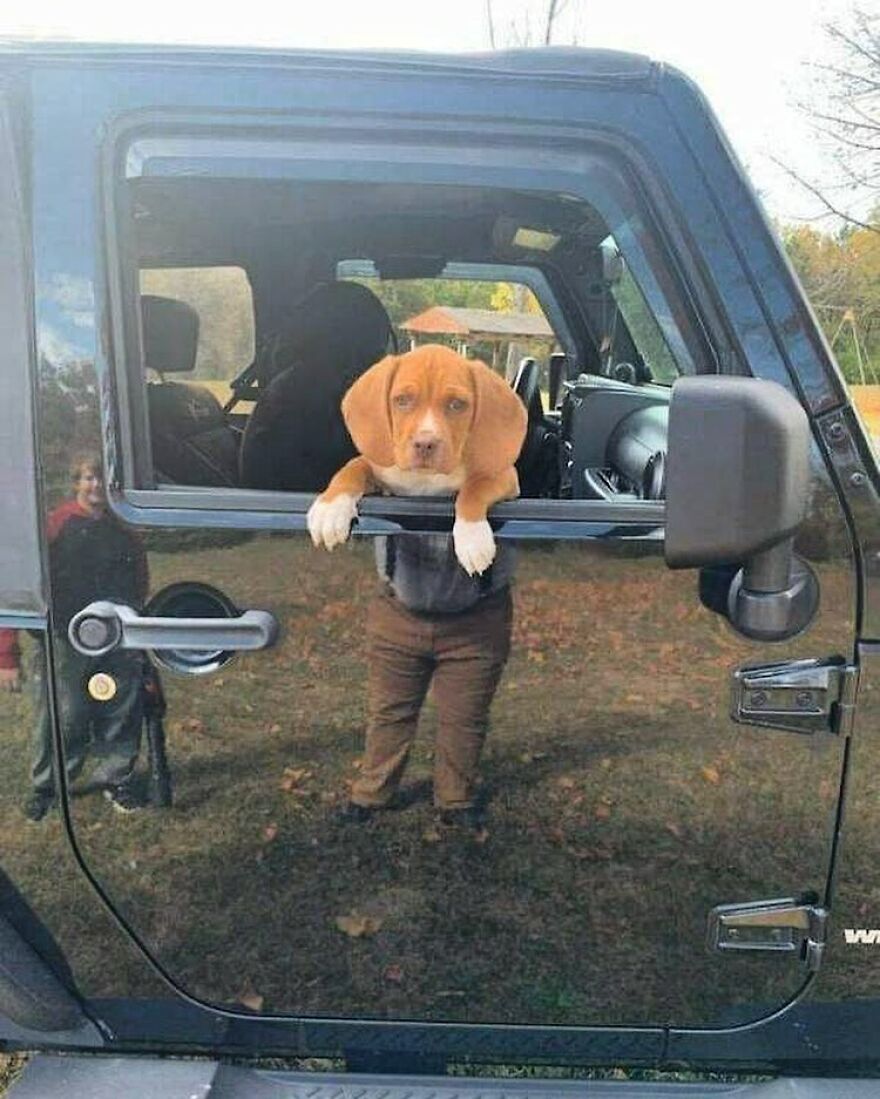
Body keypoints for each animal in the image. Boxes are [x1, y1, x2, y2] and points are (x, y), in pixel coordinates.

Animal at [305, 342, 525, 575]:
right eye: (402, 401)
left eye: (457, 404)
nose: (425, 443)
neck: (423, 477)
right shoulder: (379, 472)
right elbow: (351, 469)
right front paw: (330, 509)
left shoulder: (504, 475)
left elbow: (475, 488)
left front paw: (473, 538)